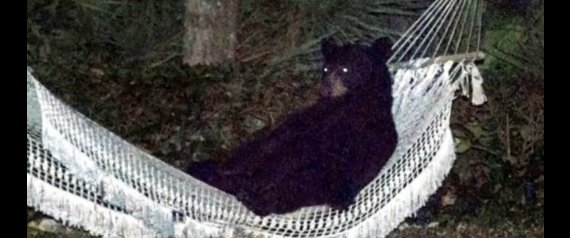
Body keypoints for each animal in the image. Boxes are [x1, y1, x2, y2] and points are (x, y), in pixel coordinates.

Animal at [185, 36, 394, 216]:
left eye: (345, 69)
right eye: (326, 69)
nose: (325, 89)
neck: (348, 103)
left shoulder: (359, 132)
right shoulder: (307, 121)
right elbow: (278, 143)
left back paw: (254, 198)